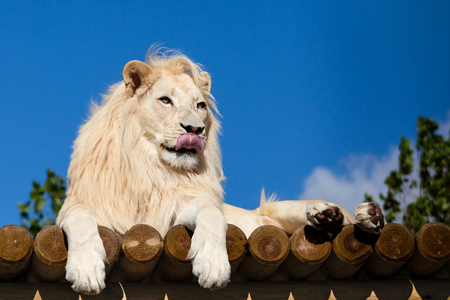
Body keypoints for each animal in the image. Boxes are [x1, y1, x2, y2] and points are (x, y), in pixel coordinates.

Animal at [58, 48, 384, 294]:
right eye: (165, 100)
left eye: (200, 105)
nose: (194, 130)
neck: (151, 170)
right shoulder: (76, 209)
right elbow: (81, 219)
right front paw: (86, 270)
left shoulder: (182, 208)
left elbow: (212, 215)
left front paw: (213, 266)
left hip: (273, 211)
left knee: (338, 217)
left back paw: (351, 214)